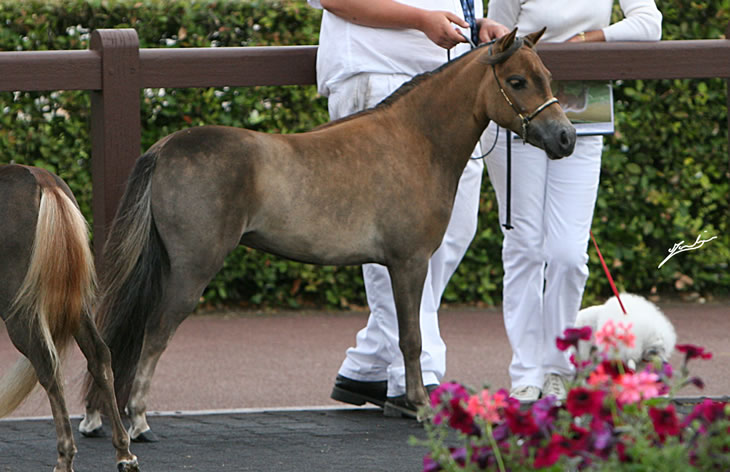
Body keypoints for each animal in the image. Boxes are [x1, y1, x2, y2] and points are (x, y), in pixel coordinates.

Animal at [0, 165, 138, 472]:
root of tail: (44, 182)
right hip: (79, 307)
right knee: (100, 357)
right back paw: (124, 453)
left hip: (19, 310)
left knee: (48, 367)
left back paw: (65, 457)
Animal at [84, 27, 576, 440]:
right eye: (517, 81)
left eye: (548, 76)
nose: (566, 138)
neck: (417, 140)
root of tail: (167, 147)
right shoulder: (409, 262)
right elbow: (411, 338)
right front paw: (419, 405)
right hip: (192, 270)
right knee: (153, 332)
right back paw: (139, 420)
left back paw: (95, 418)